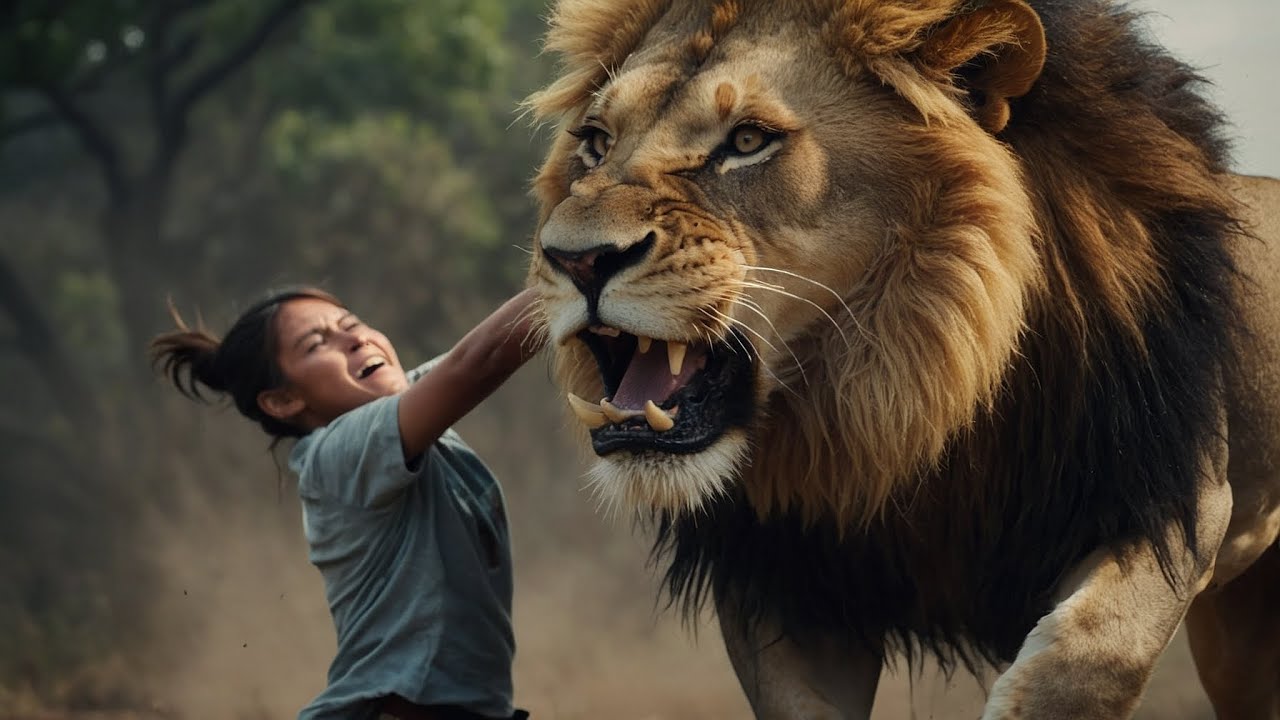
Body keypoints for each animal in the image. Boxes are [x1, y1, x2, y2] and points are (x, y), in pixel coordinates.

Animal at [526, 0, 1280, 717]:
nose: (576, 260)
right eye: (595, 143)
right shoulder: (786, 584)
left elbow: (1083, 662)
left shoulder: (1174, 505)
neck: (913, 397)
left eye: (747, 141)